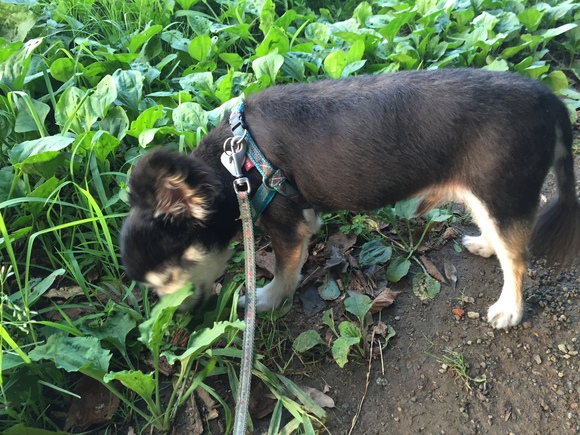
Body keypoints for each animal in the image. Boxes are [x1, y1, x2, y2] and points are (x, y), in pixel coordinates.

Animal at [119, 69, 580, 330]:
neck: (233, 164)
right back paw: (486, 244)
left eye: (170, 278)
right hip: (491, 195)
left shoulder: (287, 227)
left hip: (499, 190)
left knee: (517, 259)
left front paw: (266, 301)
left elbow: (284, 274)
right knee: (510, 234)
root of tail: (551, 99)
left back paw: (510, 310)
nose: (177, 319)